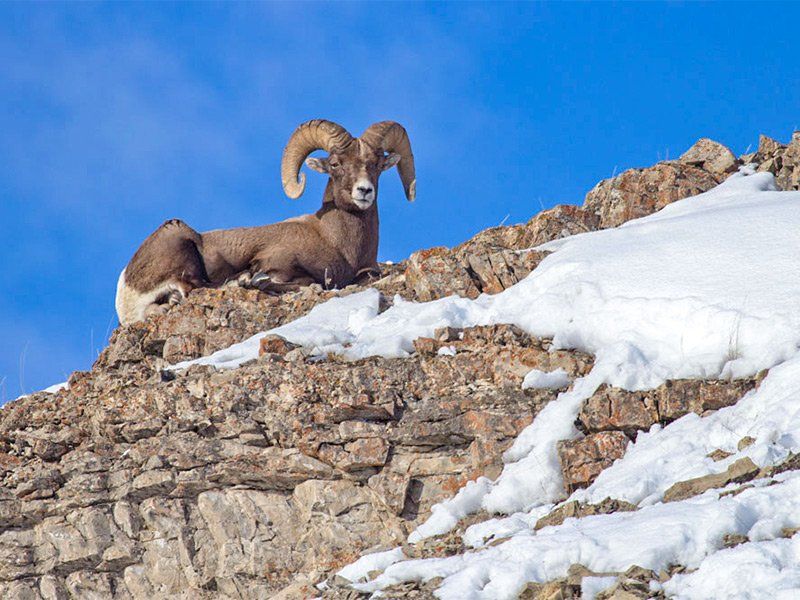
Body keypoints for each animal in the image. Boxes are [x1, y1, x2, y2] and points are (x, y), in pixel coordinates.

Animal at [115, 119, 416, 325]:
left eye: (376, 165)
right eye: (335, 164)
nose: (364, 191)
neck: (338, 242)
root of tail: (126, 291)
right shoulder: (274, 263)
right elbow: (304, 282)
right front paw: (251, 279)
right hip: (180, 237)